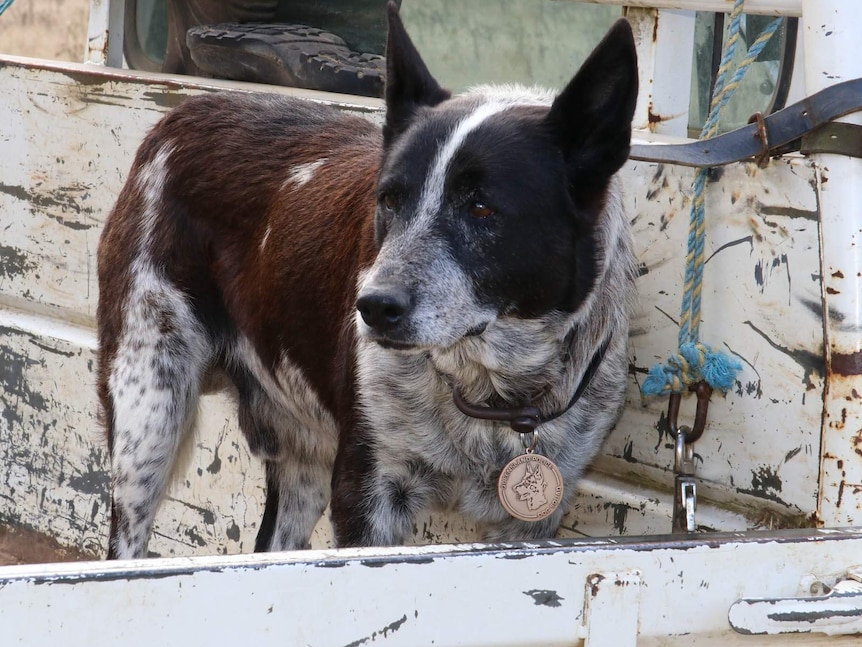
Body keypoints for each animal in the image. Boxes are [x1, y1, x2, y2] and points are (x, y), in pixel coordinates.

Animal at [99, 5, 640, 560]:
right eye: (390, 199)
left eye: (483, 208)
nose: (374, 306)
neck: (488, 388)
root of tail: (181, 113)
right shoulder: (367, 494)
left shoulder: (529, 525)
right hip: (148, 415)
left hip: (300, 463)